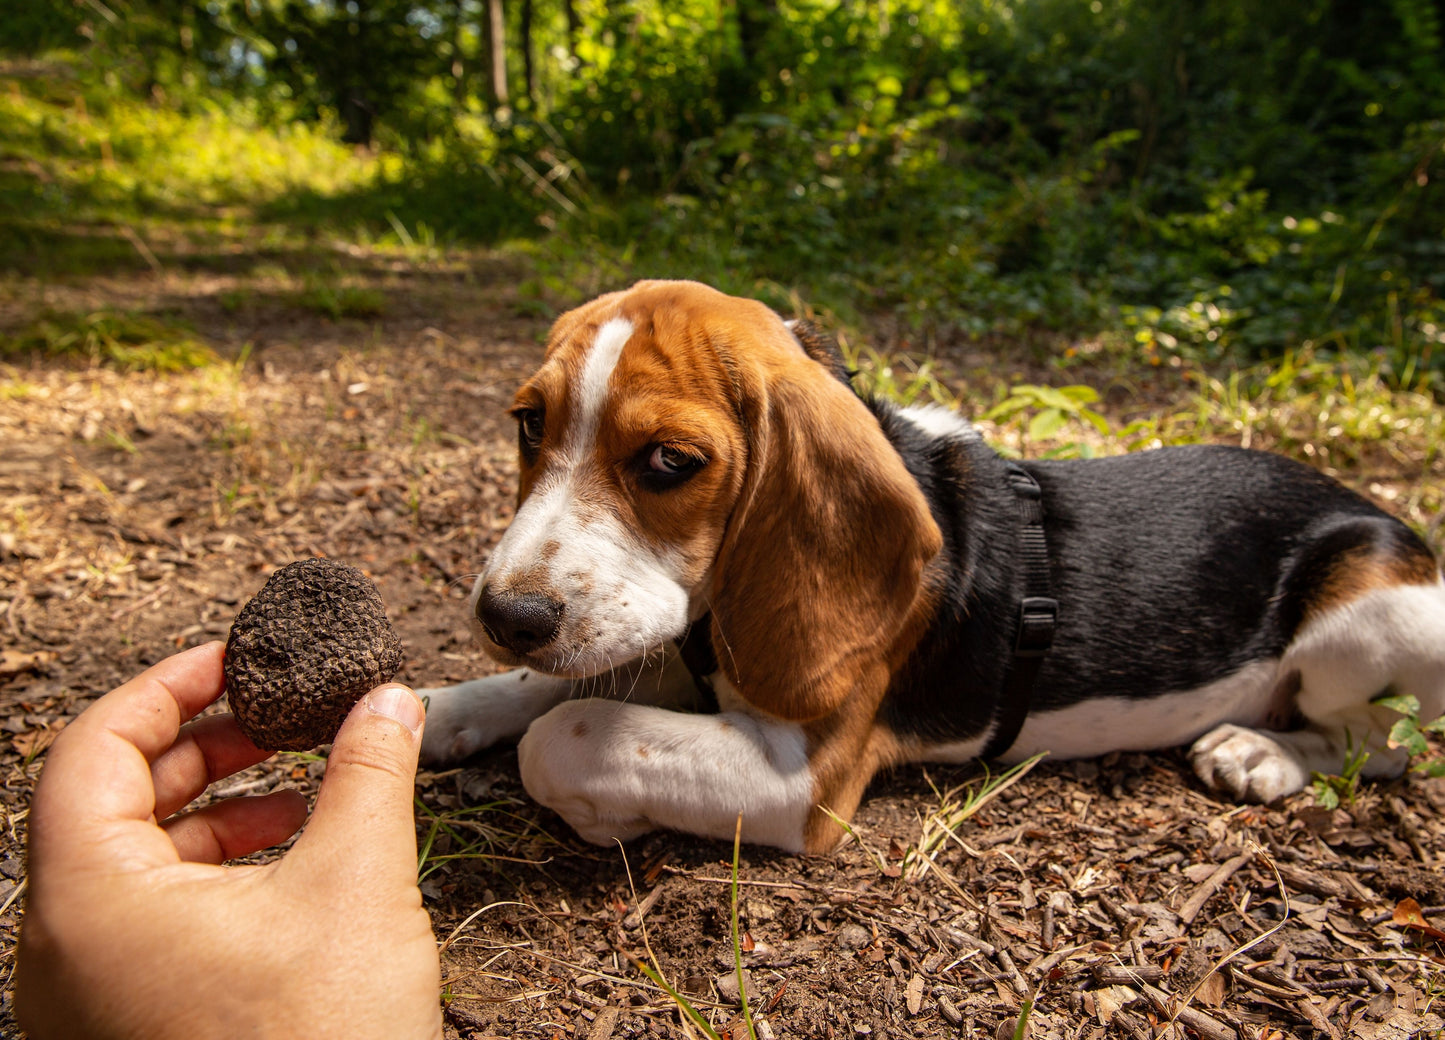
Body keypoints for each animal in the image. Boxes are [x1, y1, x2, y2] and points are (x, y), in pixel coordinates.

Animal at [421, 278, 1445, 855]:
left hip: (1368, 616)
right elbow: (539, 689)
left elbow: (570, 731)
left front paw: (599, 810)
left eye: (671, 462)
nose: (505, 616)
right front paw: (438, 708)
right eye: (529, 425)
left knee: (1381, 745)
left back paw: (1259, 753)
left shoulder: (804, 780)